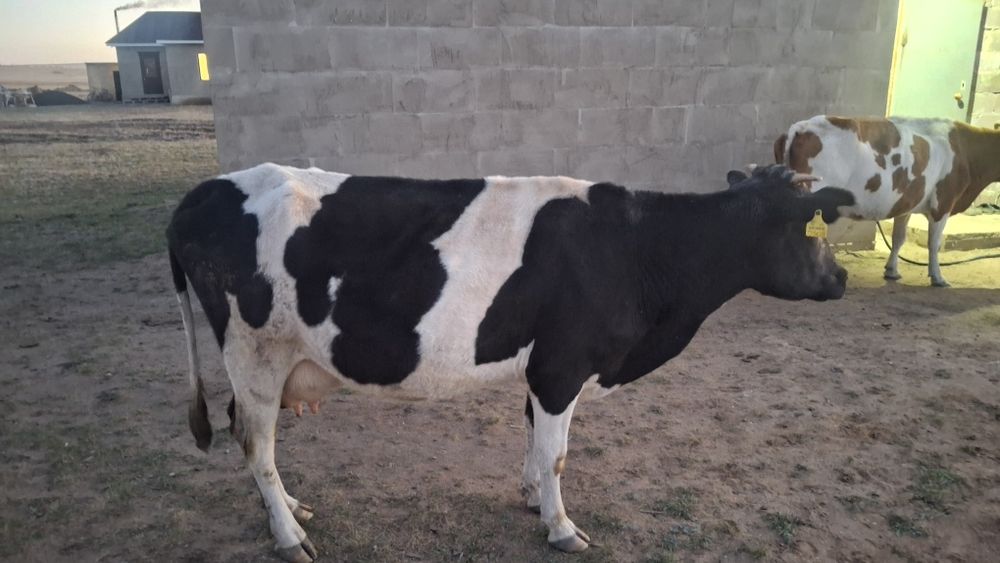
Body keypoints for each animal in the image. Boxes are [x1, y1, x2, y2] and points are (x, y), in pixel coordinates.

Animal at [166, 164, 853, 562]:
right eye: (812, 226)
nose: (844, 276)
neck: (637, 250)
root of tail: (206, 189)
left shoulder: (545, 368)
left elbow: (533, 439)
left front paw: (531, 498)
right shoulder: (563, 365)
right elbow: (558, 453)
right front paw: (561, 527)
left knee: (253, 441)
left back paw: (289, 508)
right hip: (257, 355)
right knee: (255, 444)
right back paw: (290, 536)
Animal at [774, 115, 1000, 287]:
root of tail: (800, 127)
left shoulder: (906, 204)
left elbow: (898, 238)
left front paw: (891, 270)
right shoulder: (943, 202)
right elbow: (933, 243)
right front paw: (938, 277)